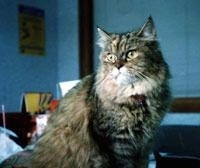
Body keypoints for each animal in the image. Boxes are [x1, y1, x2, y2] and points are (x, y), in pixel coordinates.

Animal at [30, 16, 170, 168]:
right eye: (111, 57)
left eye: (131, 54)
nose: (118, 66)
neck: (135, 96)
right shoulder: (116, 141)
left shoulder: (145, 144)